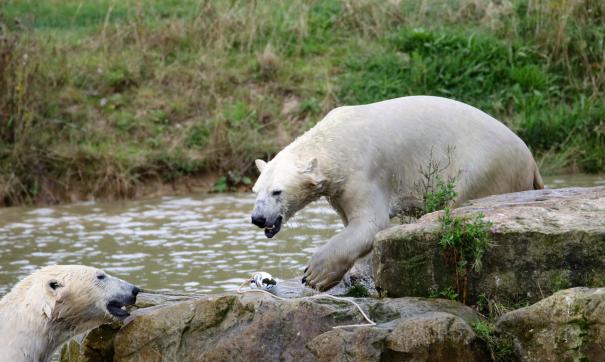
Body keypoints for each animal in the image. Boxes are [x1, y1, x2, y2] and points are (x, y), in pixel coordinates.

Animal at [250, 95, 544, 292]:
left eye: (277, 191)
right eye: (256, 190)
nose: (258, 218)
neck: (335, 144)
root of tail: (531, 160)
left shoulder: (364, 171)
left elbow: (371, 223)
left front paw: (314, 274)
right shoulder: (339, 187)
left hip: (483, 166)